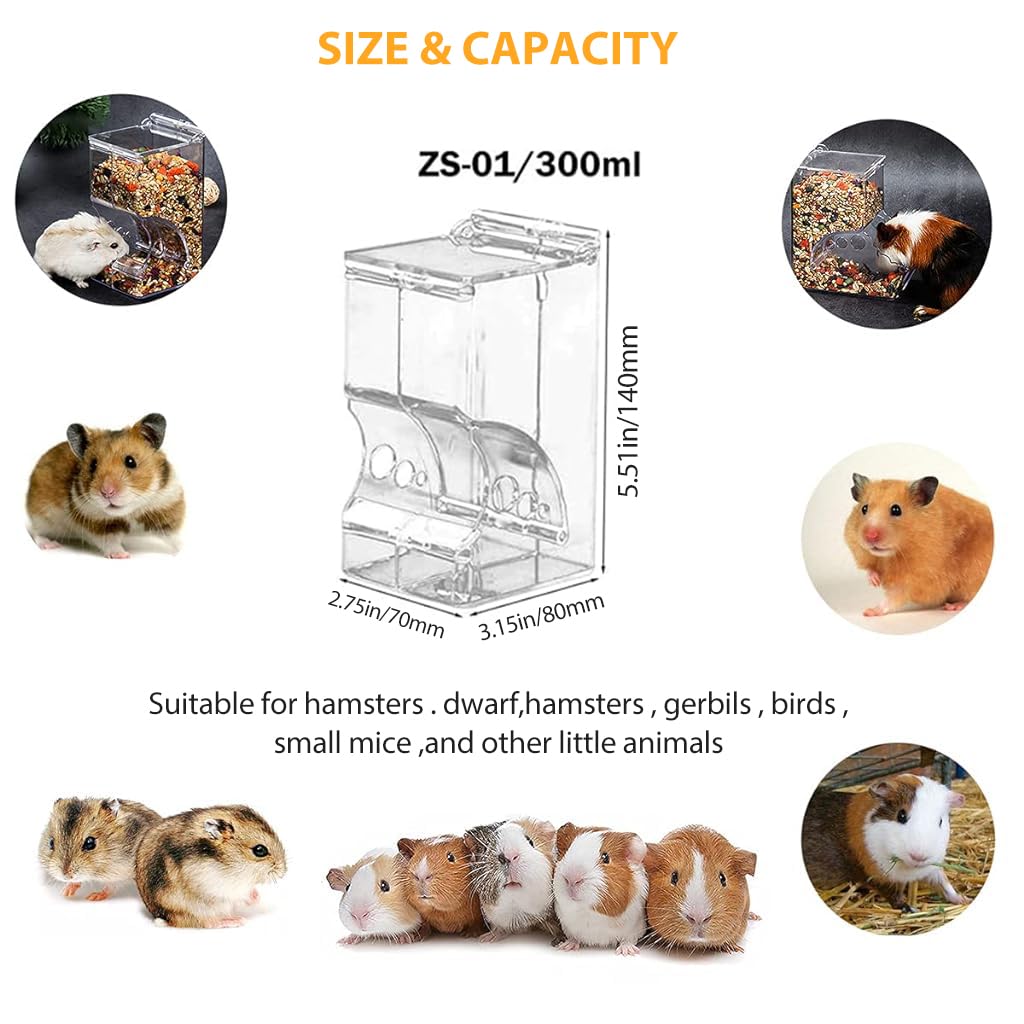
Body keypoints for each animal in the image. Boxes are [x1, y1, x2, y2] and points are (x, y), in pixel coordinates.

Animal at [27, 412, 185, 558]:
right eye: (93, 465)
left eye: (131, 461)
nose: (107, 492)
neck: (129, 513)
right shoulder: (98, 524)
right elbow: (110, 542)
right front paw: (122, 555)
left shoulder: (166, 509)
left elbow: (176, 537)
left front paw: (183, 550)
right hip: (40, 515)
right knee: (34, 531)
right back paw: (50, 544)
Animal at [135, 805, 286, 928]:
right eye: (260, 850)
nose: (283, 872)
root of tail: (164, 918)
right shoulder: (223, 886)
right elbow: (241, 894)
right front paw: (254, 898)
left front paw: (256, 896)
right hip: (192, 908)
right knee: (206, 922)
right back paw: (235, 921)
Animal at [552, 823, 648, 956]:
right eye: (567, 851)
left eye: (605, 857)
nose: (572, 878)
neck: (590, 913)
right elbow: (573, 938)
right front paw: (565, 947)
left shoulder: (635, 926)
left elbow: (628, 940)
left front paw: (627, 952)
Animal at [803, 774, 966, 911]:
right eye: (901, 815)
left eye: (940, 821)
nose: (919, 857)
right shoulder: (879, 876)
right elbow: (895, 896)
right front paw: (910, 909)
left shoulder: (932, 868)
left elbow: (944, 884)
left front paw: (963, 900)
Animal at [845, 473, 993, 617]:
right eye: (864, 508)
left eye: (896, 510)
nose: (870, 537)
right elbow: (869, 568)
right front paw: (874, 581)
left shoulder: (916, 578)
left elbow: (893, 598)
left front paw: (868, 612)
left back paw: (952, 606)